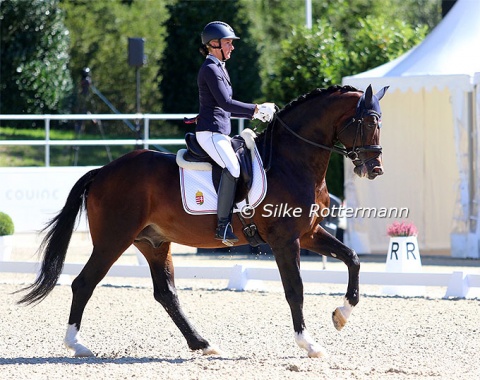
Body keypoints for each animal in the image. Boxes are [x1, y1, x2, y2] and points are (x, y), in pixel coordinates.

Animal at [16, 84, 388, 358]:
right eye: (368, 123)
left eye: (380, 123)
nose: (375, 170)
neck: (291, 161)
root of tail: (103, 171)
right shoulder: (286, 240)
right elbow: (295, 289)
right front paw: (309, 344)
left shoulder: (309, 233)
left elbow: (352, 259)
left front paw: (341, 315)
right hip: (113, 239)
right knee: (84, 283)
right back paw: (76, 344)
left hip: (153, 242)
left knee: (165, 294)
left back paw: (203, 344)